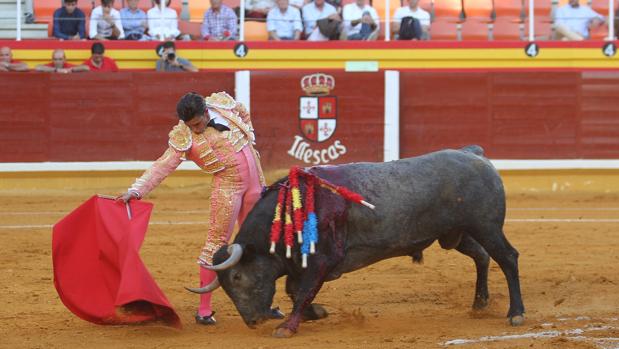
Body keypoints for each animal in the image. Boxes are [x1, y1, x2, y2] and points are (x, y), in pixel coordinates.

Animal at [205, 145, 528, 336]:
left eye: (237, 277)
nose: (253, 321)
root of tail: (475, 155)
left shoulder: (323, 260)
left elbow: (303, 291)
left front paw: (288, 327)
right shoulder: (301, 265)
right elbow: (294, 291)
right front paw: (317, 313)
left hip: (486, 226)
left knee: (508, 258)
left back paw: (516, 314)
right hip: (457, 234)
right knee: (482, 256)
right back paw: (479, 303)